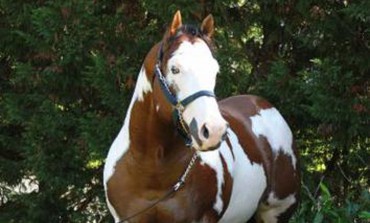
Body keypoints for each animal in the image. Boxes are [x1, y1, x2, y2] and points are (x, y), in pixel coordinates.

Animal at [102, 10, 300, 223]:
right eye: (175, 69)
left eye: (215, 71)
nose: (213, 131)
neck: (152, 169)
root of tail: (265, 105)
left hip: (275, 212)